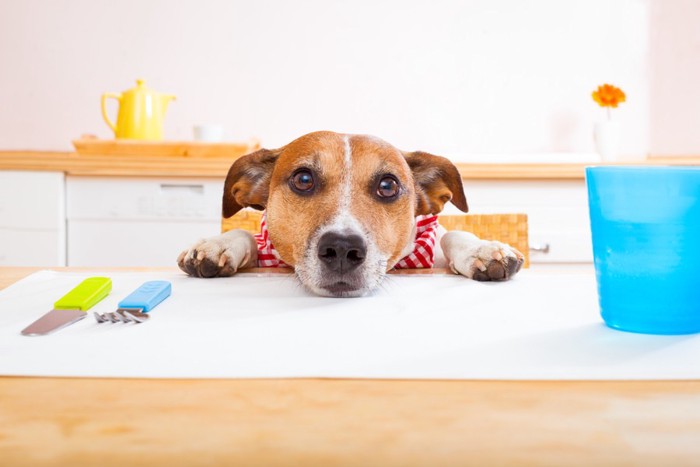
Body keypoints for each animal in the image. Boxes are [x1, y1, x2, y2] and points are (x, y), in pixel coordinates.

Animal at [178, 130, 524, 296]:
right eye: (303, 180)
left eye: (388, 185)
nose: (342, 249)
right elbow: (246, 234)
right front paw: (217, 244)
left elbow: (451, 233)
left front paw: (483, 249)